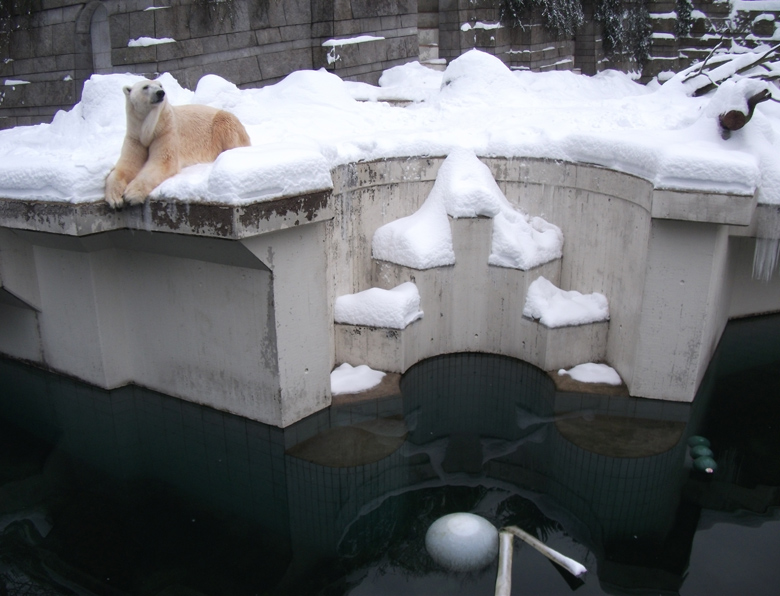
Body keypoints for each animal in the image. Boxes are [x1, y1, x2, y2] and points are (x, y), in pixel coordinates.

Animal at [104, 78, 250, 210]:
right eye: (145, 87)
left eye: (160, 85)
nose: (160, 93)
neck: (147, 130)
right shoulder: (135, 136)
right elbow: (126, 166)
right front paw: (115, 199)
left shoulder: (165, 130)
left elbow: (162, 163)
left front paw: (131, 195)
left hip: (222, 123)